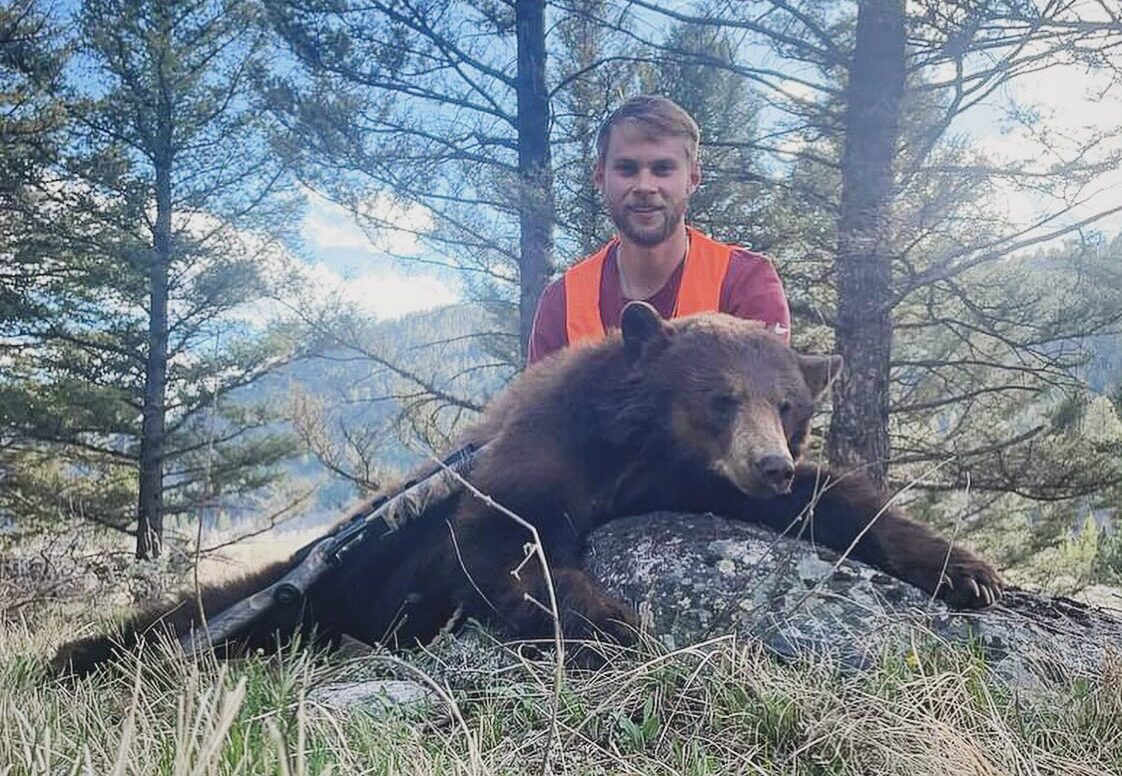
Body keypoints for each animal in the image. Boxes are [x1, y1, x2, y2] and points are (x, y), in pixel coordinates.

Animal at [51, 302, 1003, 676]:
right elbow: (500, 541)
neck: (634, 453)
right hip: (309, 581)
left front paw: (966, 569)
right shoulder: (538, 453)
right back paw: (81, 654)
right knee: (200, 615)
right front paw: (611, 616)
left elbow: (841, 498)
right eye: (720, 397)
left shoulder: (703, 484)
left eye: (790, 404)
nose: (766, 464)